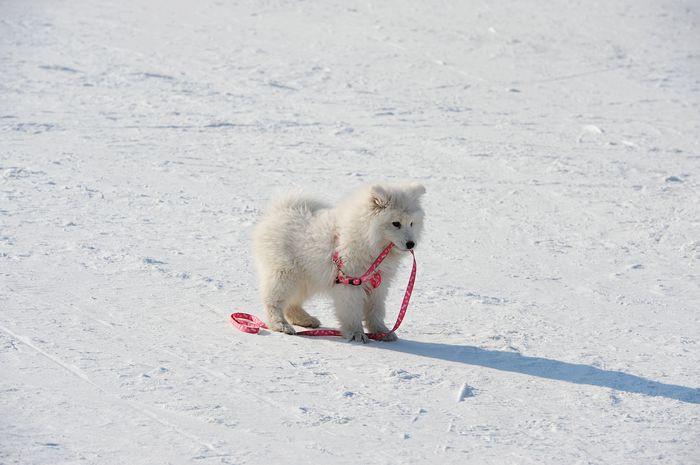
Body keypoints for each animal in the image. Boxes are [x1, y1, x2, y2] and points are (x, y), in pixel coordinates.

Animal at [252, 182, 426, 340]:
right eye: (396, 223)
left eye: (412, 223)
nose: (411, 244)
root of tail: (281, 210)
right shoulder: (351, 283)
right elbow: (352, 312)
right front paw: (356, 334)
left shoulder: (378, 284)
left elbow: (375, 311)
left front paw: (381, 332)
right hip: (286, 273)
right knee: (274, 300)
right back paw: (280, 325)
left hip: (307, 277)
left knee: (292, 303)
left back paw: (306, 320)